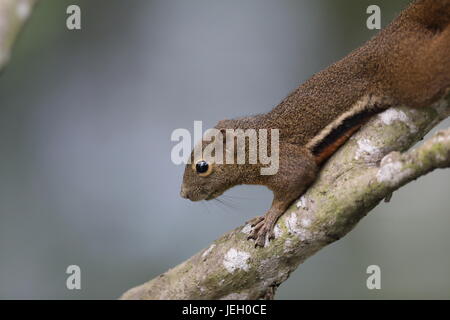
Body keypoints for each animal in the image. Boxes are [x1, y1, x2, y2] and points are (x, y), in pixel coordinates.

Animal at [179, 0, 450, 248]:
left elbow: (298, 176)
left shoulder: (282, 159)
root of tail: (396, 28)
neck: (252, 143)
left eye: (202, 167)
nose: (184, 194)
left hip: (409, 73)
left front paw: (269, 217)